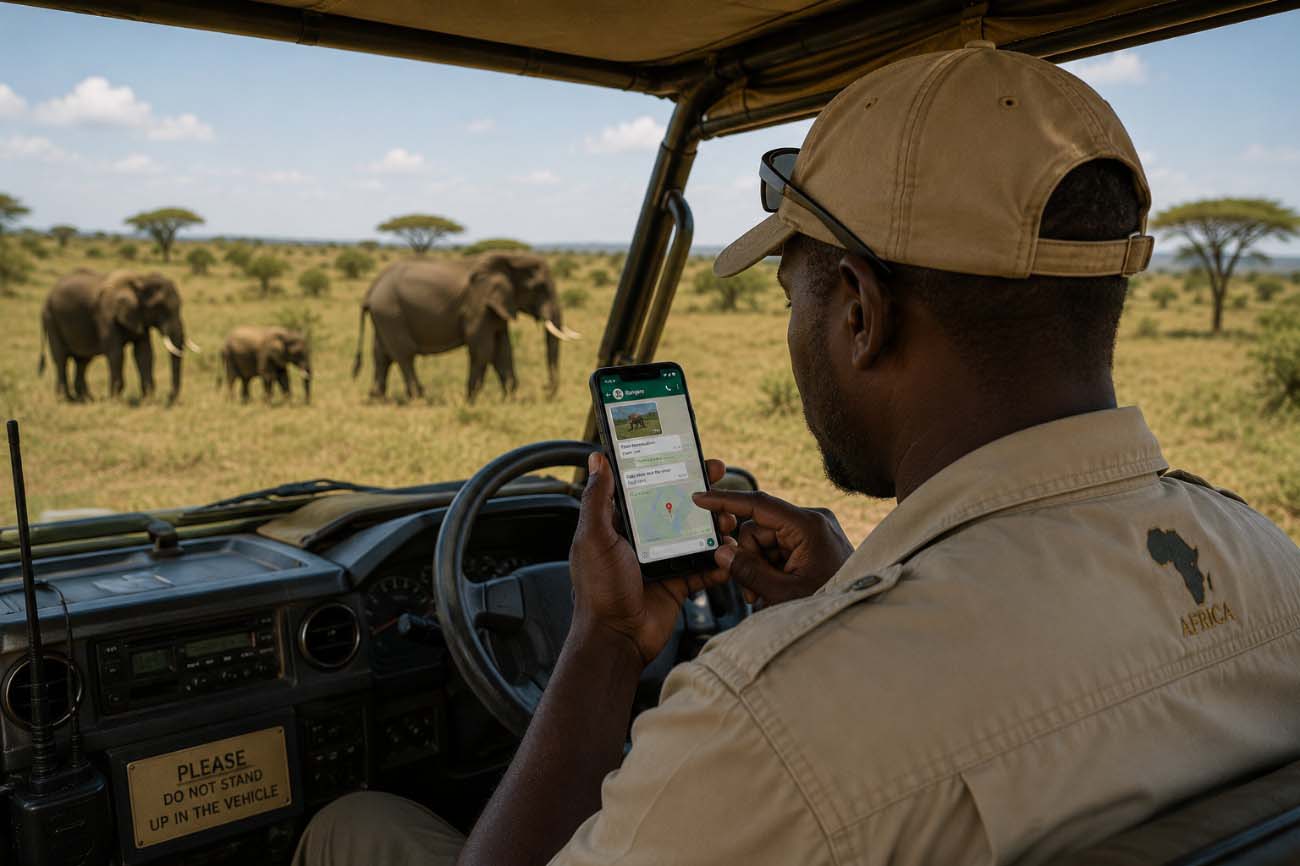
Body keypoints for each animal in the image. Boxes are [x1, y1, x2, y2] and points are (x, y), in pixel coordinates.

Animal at [39, 269, 197, 403]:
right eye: (160, 307)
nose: (169, 396)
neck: (141, 280)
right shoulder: (106, 315)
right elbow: (116, 353)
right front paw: (115, 400)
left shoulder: (139, 317)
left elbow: (144, 353)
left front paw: (148, 400)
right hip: (51, 318)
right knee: (61, 358)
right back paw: (67, 398)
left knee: (83, 361)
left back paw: (86, 399)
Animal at [352, 252, 580, 402]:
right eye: (540, 287)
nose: (546, 388)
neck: (510, 259)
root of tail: (371, 289)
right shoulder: (478, 304)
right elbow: (483, 349)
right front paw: (471, 400)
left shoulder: (497, 308)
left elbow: (503, 350)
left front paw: (509, 398)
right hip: (391, 311)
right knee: (404, 354)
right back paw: (418, 397)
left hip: (384, 316)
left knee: (381, 354)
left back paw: (378, 398)